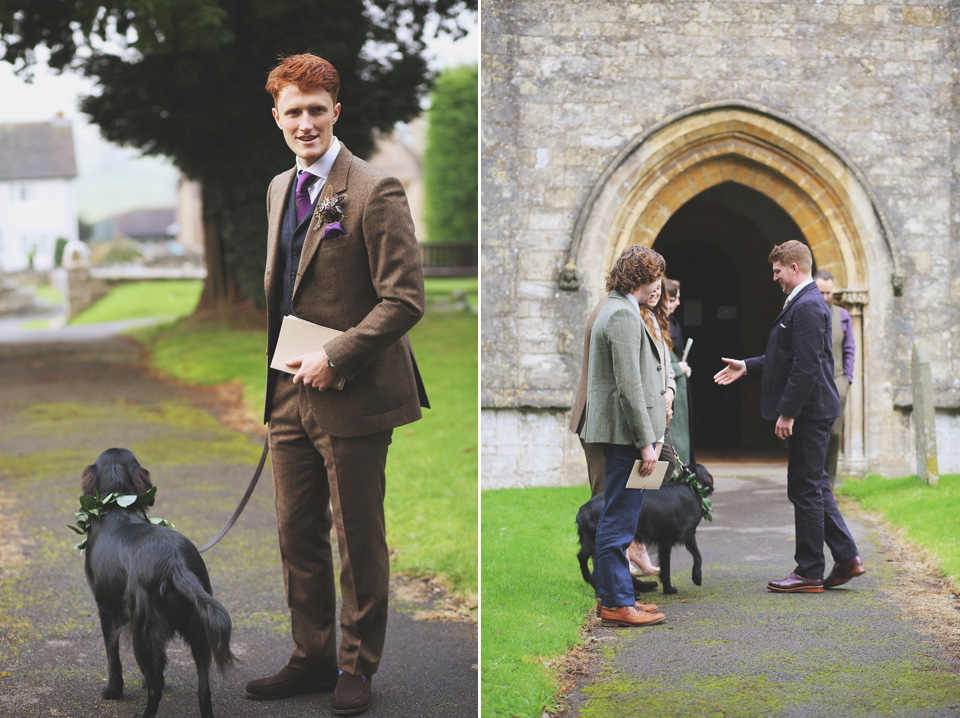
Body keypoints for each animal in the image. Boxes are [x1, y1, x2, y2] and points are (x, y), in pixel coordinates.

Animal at [80, 450, 234, 718]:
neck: (117, 504)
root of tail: (174, 563)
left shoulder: (106, 608)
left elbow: (112, 654)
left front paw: (112, 691)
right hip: (198, 627)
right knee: (203, 689)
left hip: (142, 631)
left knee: (156, 688)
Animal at [576, 466, 712, 596]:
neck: (691, 486)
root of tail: (584, 510)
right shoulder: (680, 536)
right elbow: (694, 557)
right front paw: (690, 580)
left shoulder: (665, 541)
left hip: (591, 542)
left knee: (582, 558)